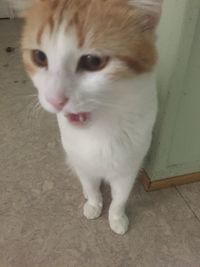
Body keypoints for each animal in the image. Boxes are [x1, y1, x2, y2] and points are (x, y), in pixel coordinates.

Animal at [13, 0, 161, 234]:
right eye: (39, 57)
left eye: (93, 61)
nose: (54, 99)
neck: (99, 131)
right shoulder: (82, 162)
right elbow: (91, 187)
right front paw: (94, 204)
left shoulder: (127, 169)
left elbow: (120, 199)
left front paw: (117, 218)